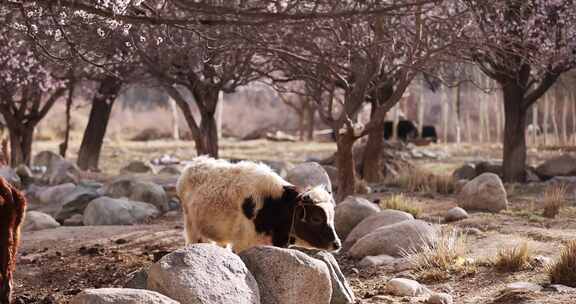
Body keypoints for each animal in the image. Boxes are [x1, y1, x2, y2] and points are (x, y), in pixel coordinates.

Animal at [176, 157, 342, 254]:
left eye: (333, 216)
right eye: (316, 218)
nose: (337, 244)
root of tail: (196, 162)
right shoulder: (244, 243)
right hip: (191, 228)